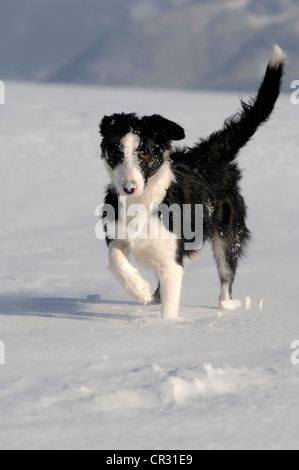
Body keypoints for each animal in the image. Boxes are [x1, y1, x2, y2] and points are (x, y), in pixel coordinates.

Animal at [100, 45, 286, 320]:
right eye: (117, 154)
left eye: (144, 154)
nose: (129, 187)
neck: (143, 201)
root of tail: (209, 154)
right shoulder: (117, 233)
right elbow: (115, 257)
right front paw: (139, 290)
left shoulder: (172, 260)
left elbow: (169, 306)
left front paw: (168, 326)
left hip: (229, 234)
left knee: (226, 276)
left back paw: (225, 308)